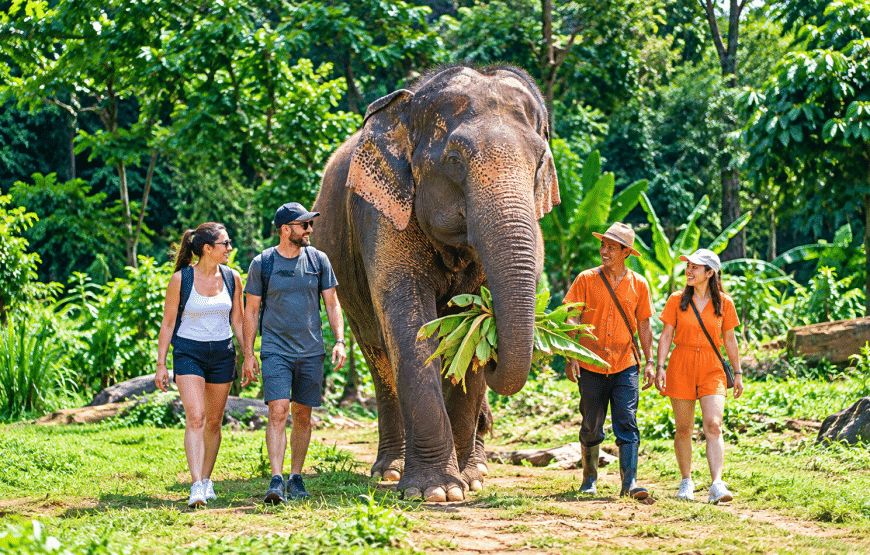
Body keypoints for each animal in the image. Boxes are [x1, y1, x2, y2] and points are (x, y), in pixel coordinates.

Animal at [312, 65, 560, 501]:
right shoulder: (383, 216)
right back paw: (390, 471)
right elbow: (409, 323)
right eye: (455, 161)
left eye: (539, 163)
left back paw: (474, 468)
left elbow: (471, 333)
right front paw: (435, 491)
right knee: (378, 355)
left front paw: (466, 483)